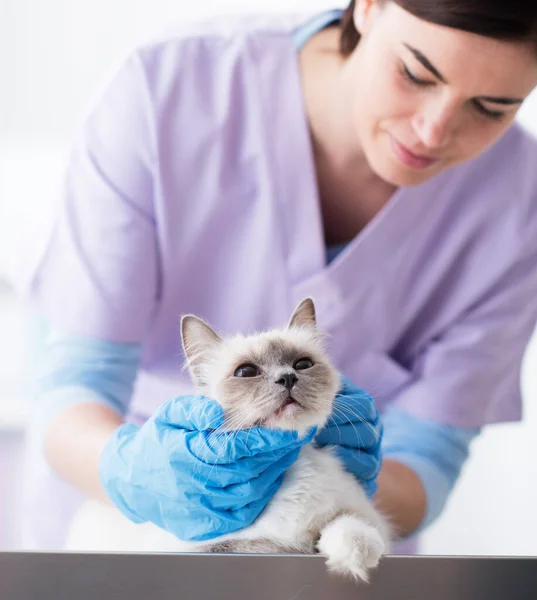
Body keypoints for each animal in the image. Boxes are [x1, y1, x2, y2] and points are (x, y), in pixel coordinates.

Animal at [66, 298, 390, 580]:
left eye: (302, 365)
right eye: (246, 372)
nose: (287, 378)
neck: (289, 471)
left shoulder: (360, 514)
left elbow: (348, 525)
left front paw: (355, 556)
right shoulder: (213, 548)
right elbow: (266, 545)